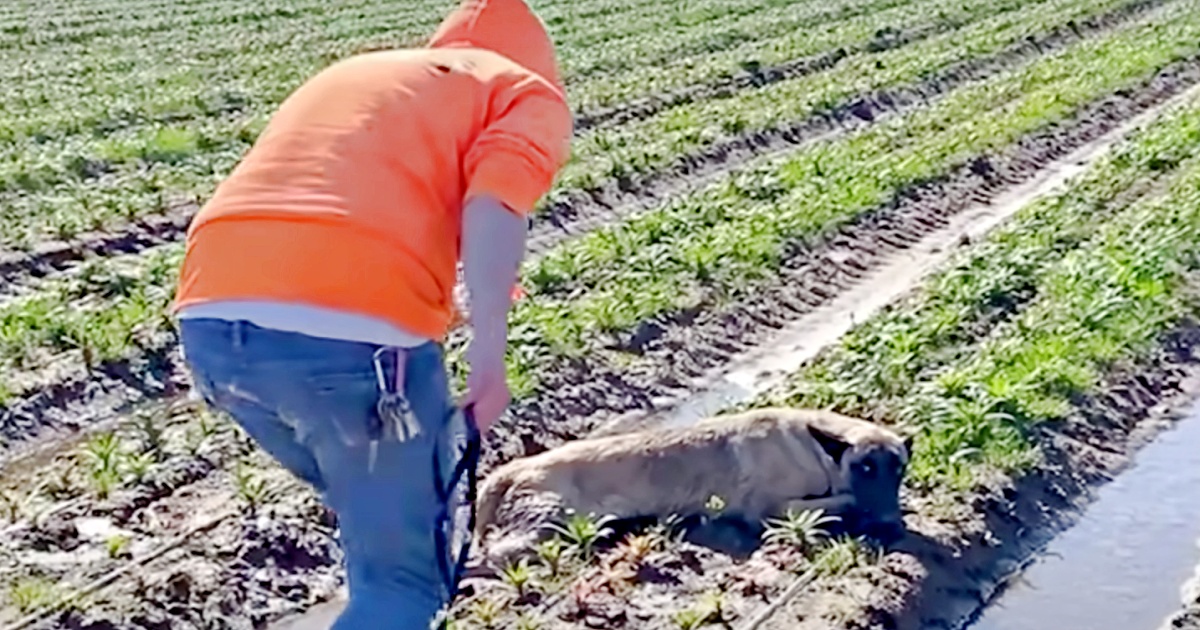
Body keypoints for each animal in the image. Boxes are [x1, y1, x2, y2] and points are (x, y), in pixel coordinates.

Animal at [472, 408, 912, 559]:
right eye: (864, 469)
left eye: (898, 471)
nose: (891, 523)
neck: (816, 445)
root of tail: (512, 468)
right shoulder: (769, 507)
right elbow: (841, 502)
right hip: (546, 526)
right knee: (487, 557)